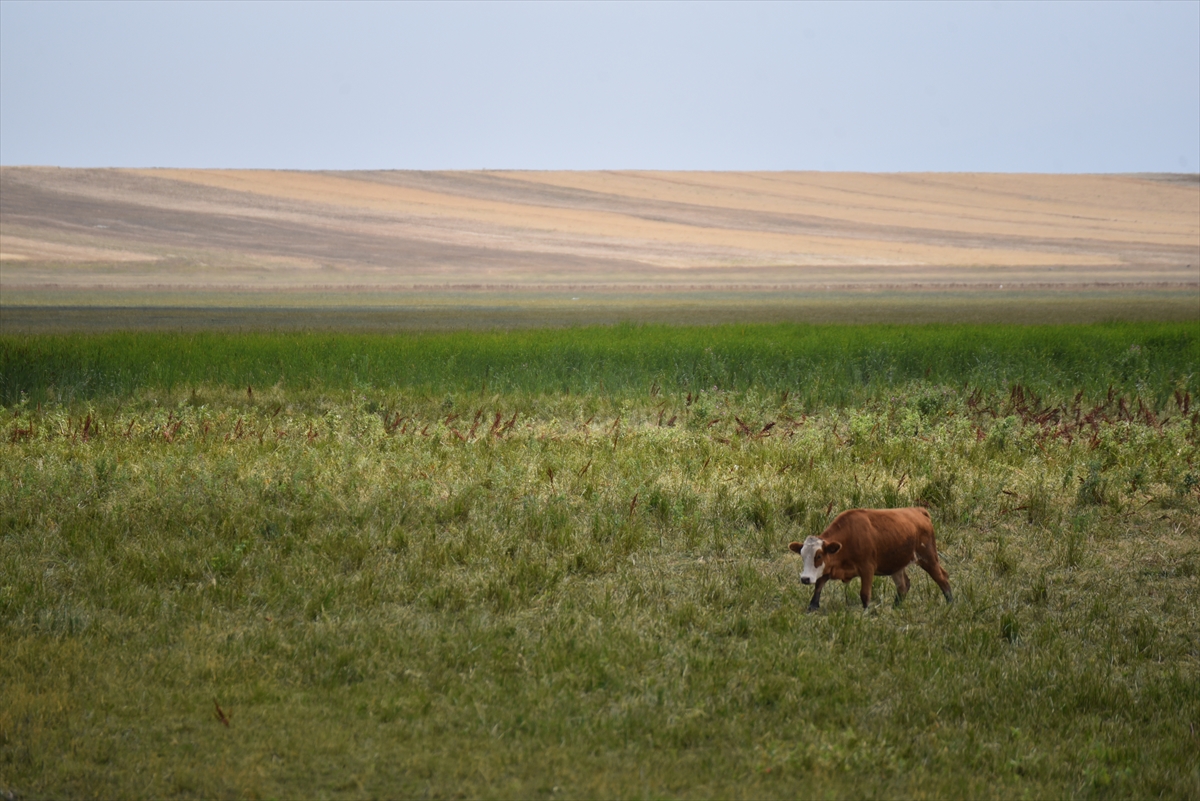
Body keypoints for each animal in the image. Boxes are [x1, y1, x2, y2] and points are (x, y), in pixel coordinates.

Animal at [787, 506, 955, 613]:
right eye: (802, 555)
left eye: (819, 556)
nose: (805, 579)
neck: (849, 537)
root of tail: (918, 510)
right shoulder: (829, 567)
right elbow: (819, 585)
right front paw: (812, 606)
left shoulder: (867, 568)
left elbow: (865, 593)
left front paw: (866, 612)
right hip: (897, 565)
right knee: (903, 585)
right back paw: (895, 607)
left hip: (928, 557)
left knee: (942, 577)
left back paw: (950, 603)